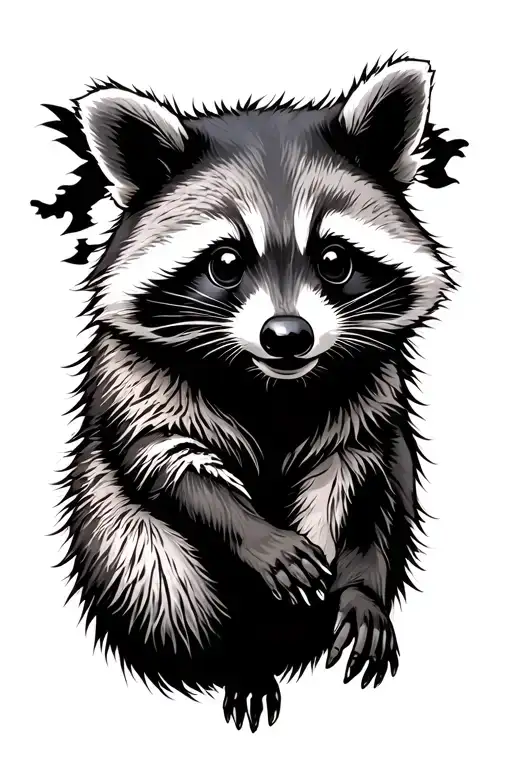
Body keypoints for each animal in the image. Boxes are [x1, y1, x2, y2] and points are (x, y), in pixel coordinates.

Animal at [33, 56, 466, 732]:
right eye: (226, 262)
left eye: (335, 260)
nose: (287, 336)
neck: (271, 386)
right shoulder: (135, 377)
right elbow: (168, 462)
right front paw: (254, 535)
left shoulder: (372, 393)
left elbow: (363, 481)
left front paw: (359, 581)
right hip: (118, 542)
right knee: (158, 570)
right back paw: (240, 654)